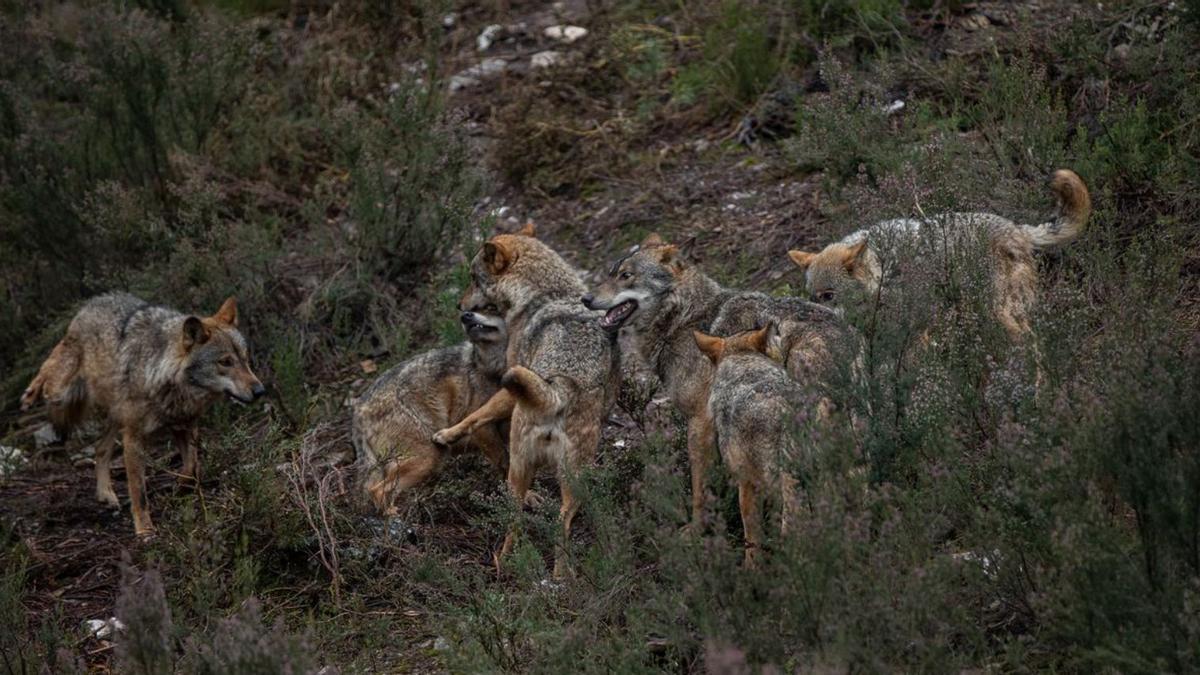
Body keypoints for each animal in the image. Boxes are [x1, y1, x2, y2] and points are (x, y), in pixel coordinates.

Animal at [18, 291, 264, 533]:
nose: (260, 390)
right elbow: (139, 492)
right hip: (62, 393)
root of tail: (94, 300)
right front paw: (145, 530)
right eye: (225, 362)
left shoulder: (184, 427)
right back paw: (30, 394)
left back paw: (106, 494)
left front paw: (178, 488)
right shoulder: (134, 439)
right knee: (48, 368)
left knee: (100, 449)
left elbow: (191, 469)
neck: (162, 376)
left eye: (245, 359)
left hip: (116, 416)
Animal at [350, 302, 511, 511]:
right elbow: (506, 465)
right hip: (428, 458)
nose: (465, 316)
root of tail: (359, 410)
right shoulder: (482, 429)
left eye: (490, 308)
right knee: (376, 491)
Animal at [432, 229, 619, 571]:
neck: (547, 294)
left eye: (473, 278)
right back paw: (555, 573)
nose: (459, 306)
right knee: (556, 519)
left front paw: (446, 435)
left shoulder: (509, 384)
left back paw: (514, 563)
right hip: (566, 478)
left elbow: (476, 415)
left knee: (524, 514)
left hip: (524, 468)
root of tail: (559, 391)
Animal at [787, 168, 1089, 336]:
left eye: (828, 296)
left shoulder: (918, 324)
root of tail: (1016, 228)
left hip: (999, 312)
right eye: (812, 296)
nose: (812, 317)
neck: (886, 269)